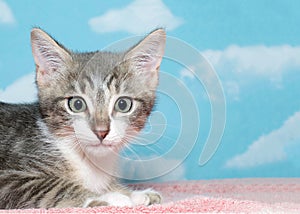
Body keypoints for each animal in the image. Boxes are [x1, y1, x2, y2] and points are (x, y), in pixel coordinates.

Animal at [0, 27, 166, 208]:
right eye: (77, 104)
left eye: (123, 104)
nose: (101, 131)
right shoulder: (7, 177)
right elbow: (53, 186)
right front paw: (111, 197)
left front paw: (135, 194)